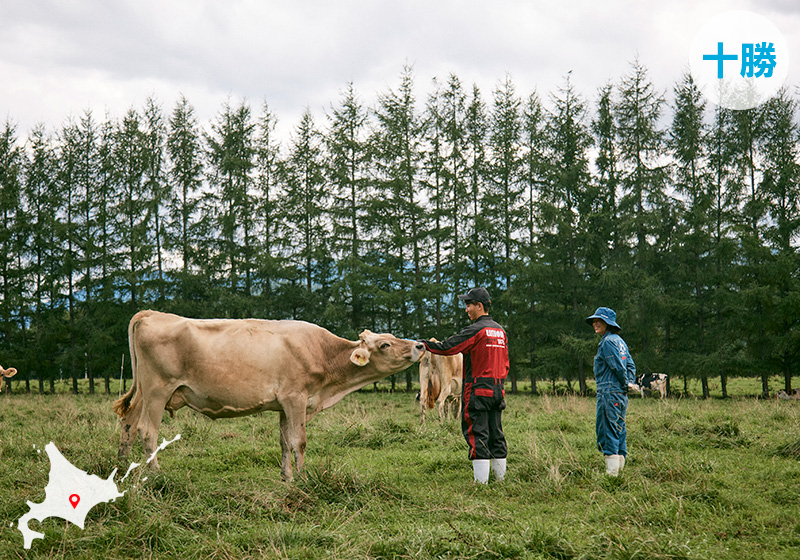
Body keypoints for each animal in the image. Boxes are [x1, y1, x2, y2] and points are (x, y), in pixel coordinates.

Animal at [114, 310, 424, 482]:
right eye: (385, 344)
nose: (420, 345)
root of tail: (151, 314)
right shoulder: (296, 398)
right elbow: (299, 442)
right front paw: (303, 479)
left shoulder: (284, 405)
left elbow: (284, 442)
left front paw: (286, 477)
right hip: (157, 390)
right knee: (147, 430)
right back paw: (156, 474)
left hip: (144, 392)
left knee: (128, 424)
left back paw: (122, 467)